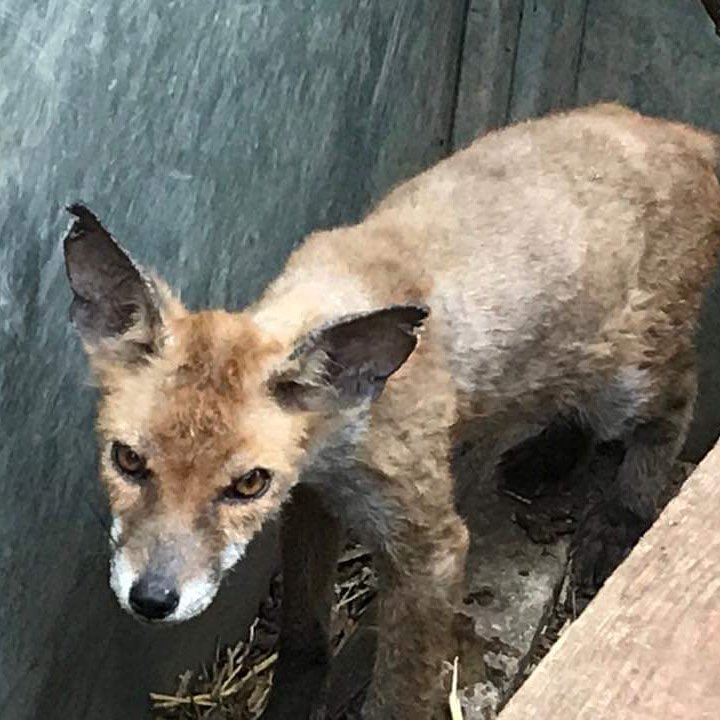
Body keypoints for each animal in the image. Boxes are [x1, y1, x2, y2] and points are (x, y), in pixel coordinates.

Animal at [63, 103, 720, 720]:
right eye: (127, 460)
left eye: (247, 484)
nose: (152, 599)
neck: (342, 441)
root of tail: (685, 134)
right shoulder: (311, 502)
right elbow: (303, 640)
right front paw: (290, 704)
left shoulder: (430, 546)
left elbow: (399, 693)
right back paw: (549, 455)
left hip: (625, 381)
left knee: (677, 396)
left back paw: (623, 516)